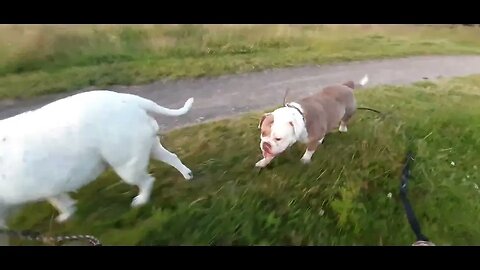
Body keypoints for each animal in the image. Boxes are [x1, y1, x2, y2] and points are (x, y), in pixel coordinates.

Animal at [0, 89, 195, 227]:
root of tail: (132, 101)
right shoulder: (47, 187)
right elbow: (62, 202)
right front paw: (68, 214)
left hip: (126, 166)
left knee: (147, 181)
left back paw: (140, 201)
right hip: (148, 147)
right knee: (172, 157)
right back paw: (187, 175)